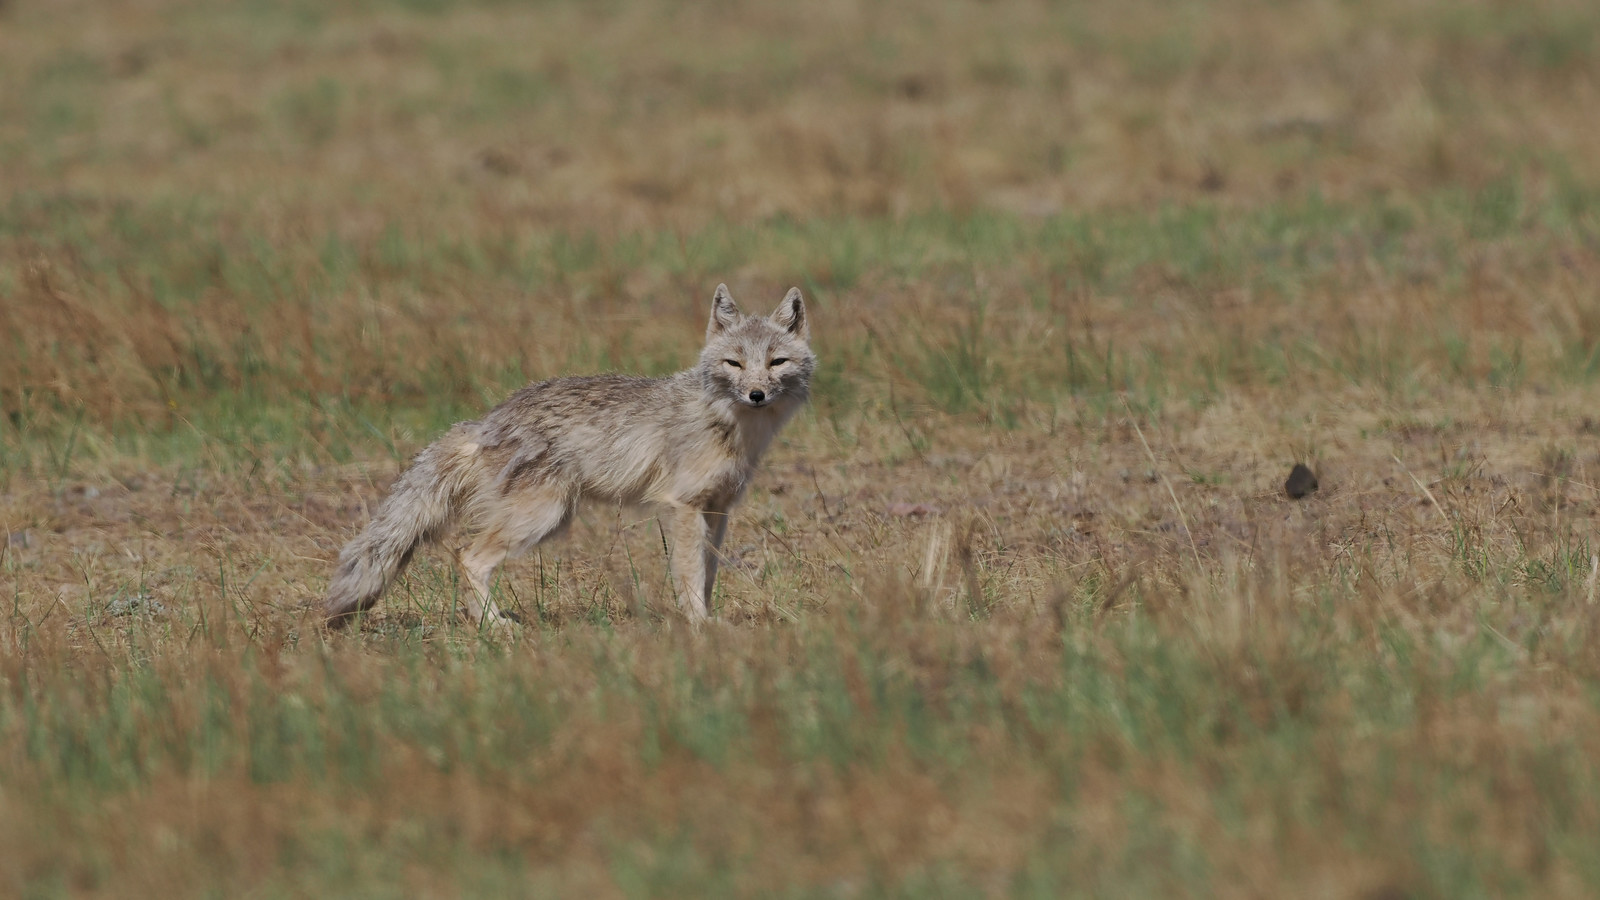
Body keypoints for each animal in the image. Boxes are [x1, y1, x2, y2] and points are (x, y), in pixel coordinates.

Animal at [324, 283, 814, 631]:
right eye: (735, 363)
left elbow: (708, 573)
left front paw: (707, 619)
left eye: (776, 362)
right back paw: (495, 626)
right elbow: (690, 575)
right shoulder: (683, 507)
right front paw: (698, 625)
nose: (756, 394)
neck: (731, 426)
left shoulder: (717, 509)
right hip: (542, 518)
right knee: (466, 556)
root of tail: (485, 420)